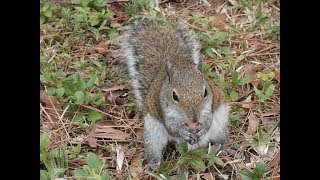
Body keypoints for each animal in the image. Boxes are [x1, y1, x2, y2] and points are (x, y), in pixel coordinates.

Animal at [117, 19, 230, 172]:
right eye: (174, 96)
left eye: (205, 92)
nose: (194, 120)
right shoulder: (164, 111)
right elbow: (172, 127)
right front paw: (183, 132)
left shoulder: (209, 106)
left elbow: (208, 120)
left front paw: (202, 128)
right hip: (153, 131)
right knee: (154, 148)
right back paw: (153, 164)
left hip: (220, 122)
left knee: (219, 137)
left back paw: (223, 148)